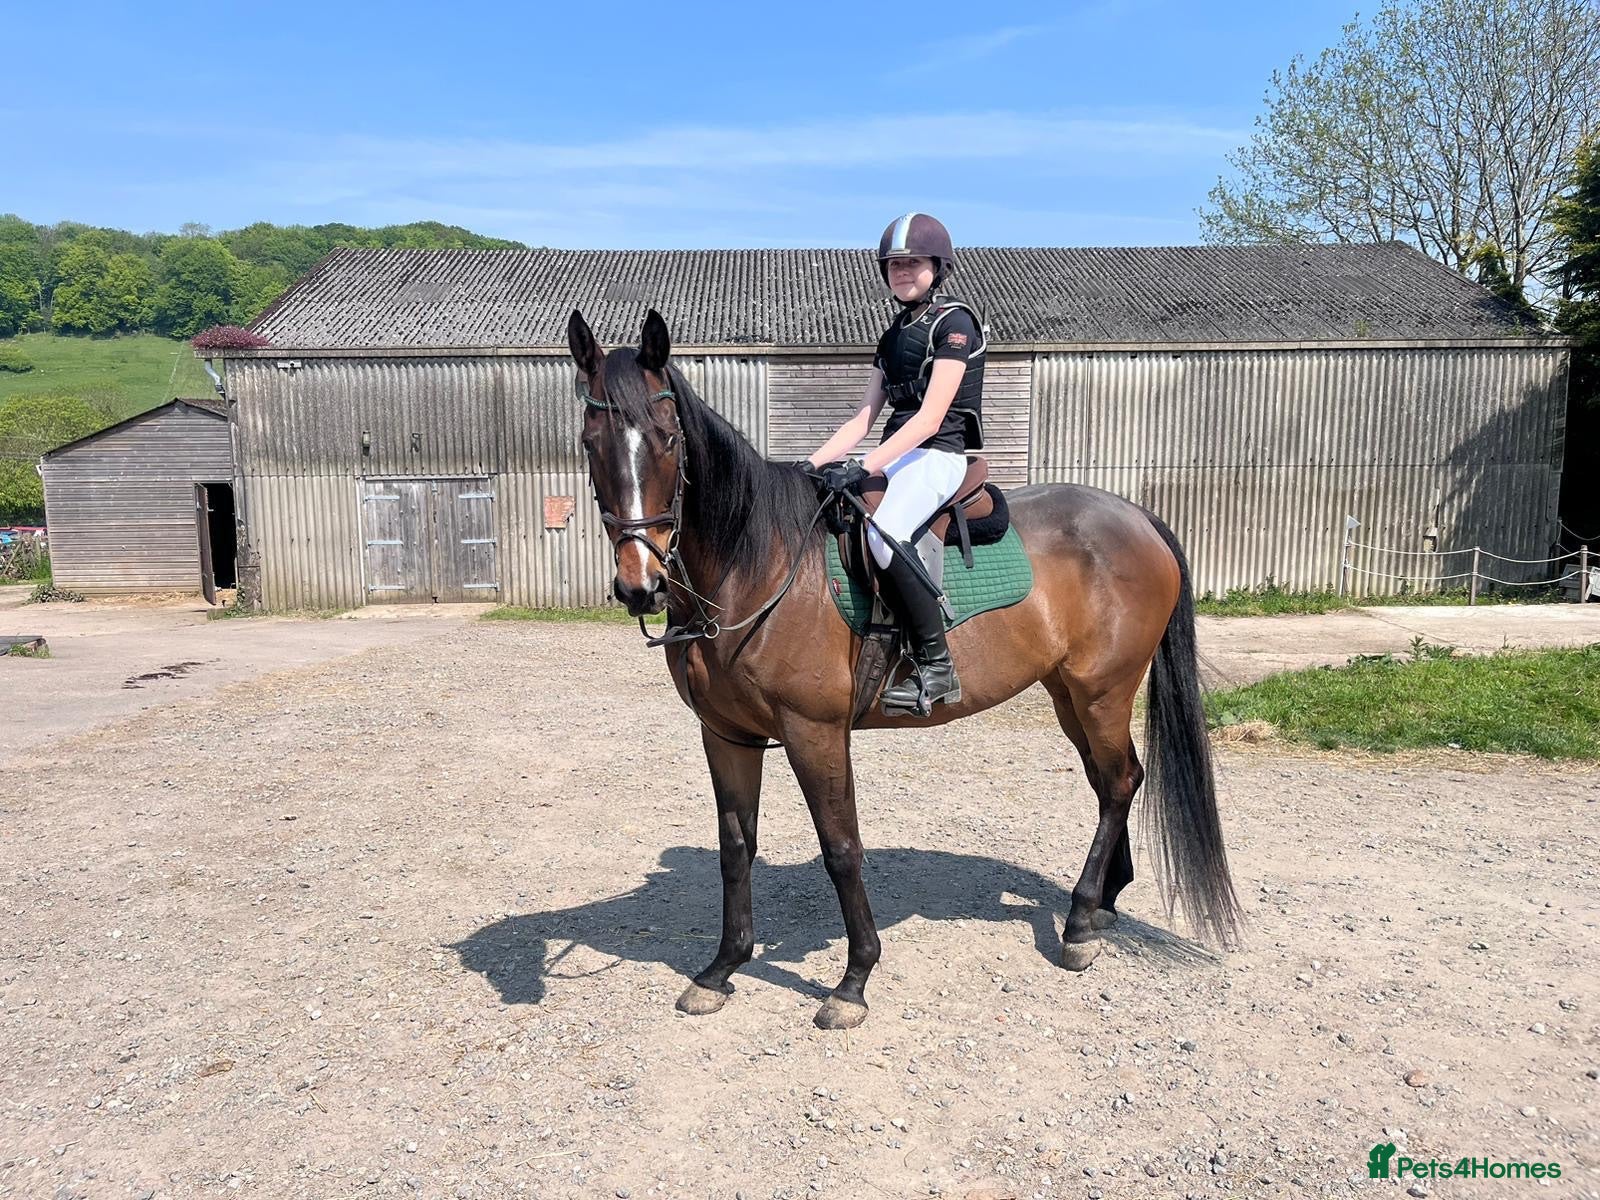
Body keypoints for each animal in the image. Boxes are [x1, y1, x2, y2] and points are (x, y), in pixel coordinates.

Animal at [566, 307, 1239, 1030]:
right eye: (590, 442)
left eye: (668, 439)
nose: (640, 585)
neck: (757, 563)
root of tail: (1135, 515)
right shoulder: (726, 735)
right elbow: (735, 847)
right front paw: (722, 968)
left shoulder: (814, 733)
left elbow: (841, 849)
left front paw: (853, 981)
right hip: (1069, 695)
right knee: (1112, 780)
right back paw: (1104, 903)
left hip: (1103, 691)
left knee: (1119, 783)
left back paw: (1081, 922)